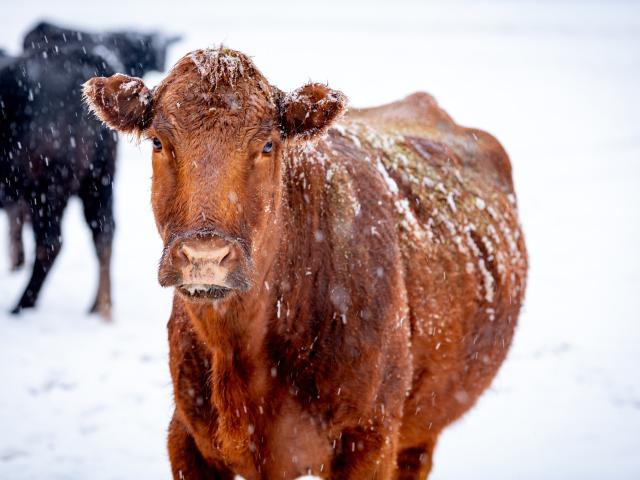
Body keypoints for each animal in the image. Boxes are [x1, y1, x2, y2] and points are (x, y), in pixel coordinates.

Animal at [0, 22, 179, 318]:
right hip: (98, 181)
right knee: (102, 231)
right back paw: (99, 307)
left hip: (49, 188)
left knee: (51, 243)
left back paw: (20, 306)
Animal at [83, 47, 528, 479]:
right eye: (158, 142)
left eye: (267, 145)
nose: (204, 257)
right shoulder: (187, 439)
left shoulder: (370, 438)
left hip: (420, 430)